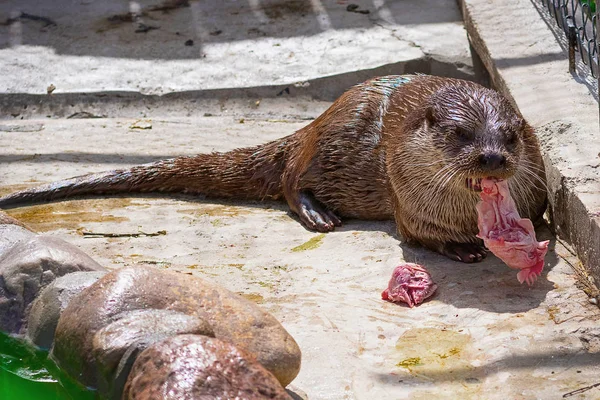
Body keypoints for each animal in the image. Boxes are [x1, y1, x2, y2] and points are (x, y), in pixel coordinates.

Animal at [0, 75, 548, 262]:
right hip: (331, 143)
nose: (493, 158)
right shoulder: (409, 206)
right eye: (459, 134)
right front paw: (462, 250)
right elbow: (419, 236)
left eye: (510, 135)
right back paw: (319, 215)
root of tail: (313, 123)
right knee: (288, 181)